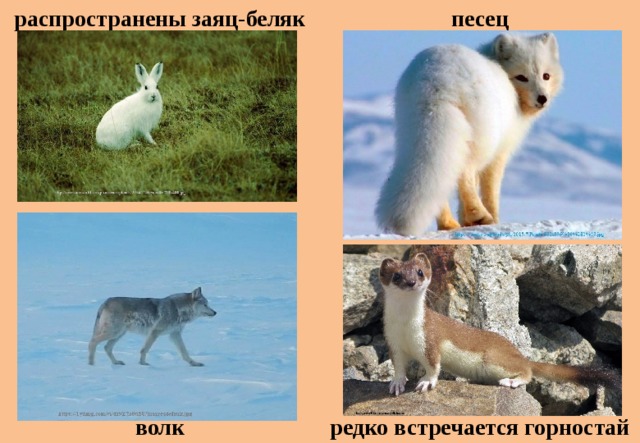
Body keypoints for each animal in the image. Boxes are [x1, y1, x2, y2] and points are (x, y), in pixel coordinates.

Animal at [88, 287, 216, 366]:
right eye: (205, 305)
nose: (215, 312)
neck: (178, 309)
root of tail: (105, 301)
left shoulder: (175, 334)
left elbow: (184, 352)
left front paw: (194, 363)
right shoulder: (155, 332)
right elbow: (144, 349)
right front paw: (143, 364)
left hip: (119, 334)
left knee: (106, 347)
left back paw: (116, 363)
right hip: (114, 332)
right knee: (92, 342)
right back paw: (91, 365)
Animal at [375, 33, 564, 236]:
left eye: (546, 76)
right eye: (522, 77)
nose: (542, 98)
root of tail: (436, 82)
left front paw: (465, 221)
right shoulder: (499, 152)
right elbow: (490, 189)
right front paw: (490, 219)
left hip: (413, 133)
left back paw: (448, 224)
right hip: (482, 139)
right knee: (465, 172)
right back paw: (479, 215)